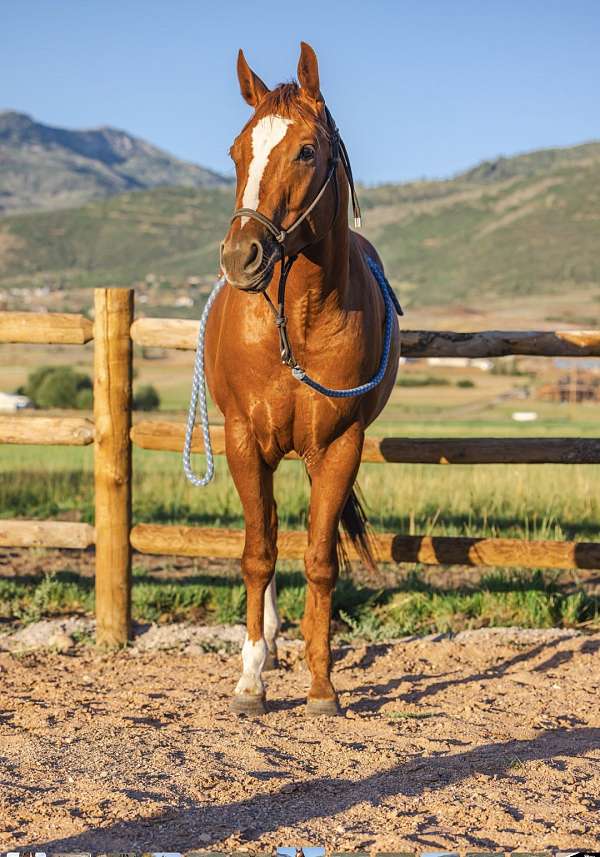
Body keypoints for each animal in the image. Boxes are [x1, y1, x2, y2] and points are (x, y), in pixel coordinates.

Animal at [205, 41, 400, 715]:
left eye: (307, 151)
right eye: (237, 151)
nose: (240, 257)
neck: (303, 319)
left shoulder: (340, 446)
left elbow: (318, 560)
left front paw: (322, 687)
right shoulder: (244, 440)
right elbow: (258, 555)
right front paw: (249, 682)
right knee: (261, 538)